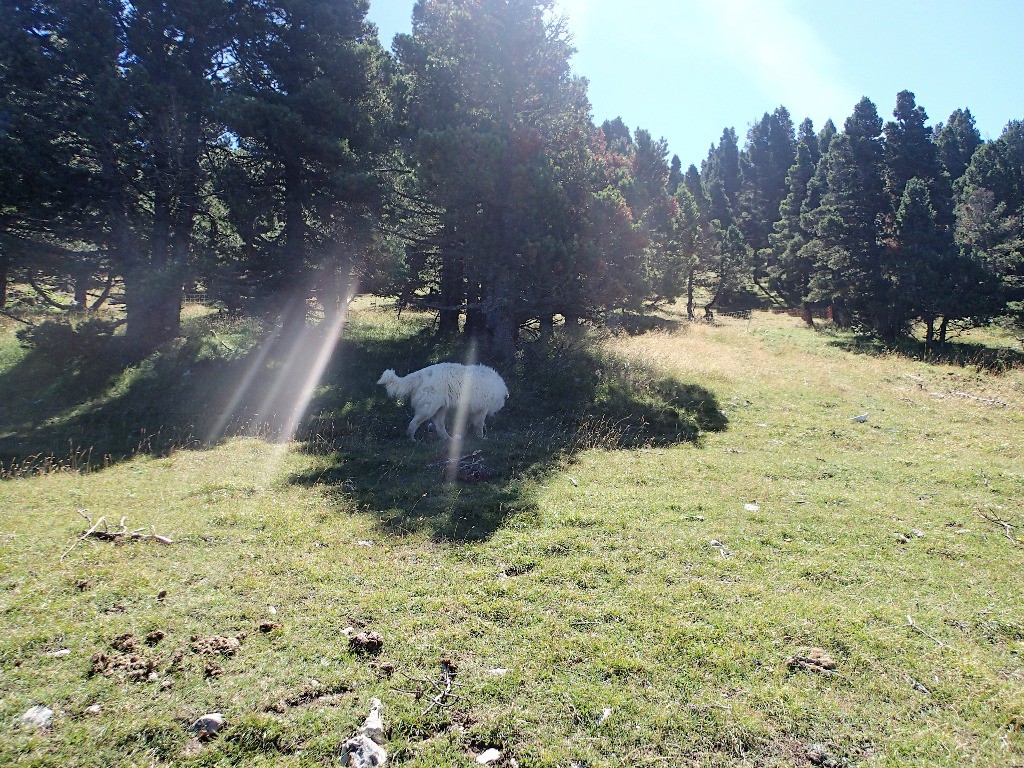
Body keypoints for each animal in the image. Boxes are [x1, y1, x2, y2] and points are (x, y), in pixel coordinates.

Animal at [376, 364, 507, 442]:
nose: (498, 410)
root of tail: (421, 374)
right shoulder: (482, 408)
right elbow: (479, 423)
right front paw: (482, 437)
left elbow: (477, 423)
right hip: (428, 408)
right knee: (414, 423)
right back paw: (411, 439)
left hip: (441, 408)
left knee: (439, 425)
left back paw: (449, 439)